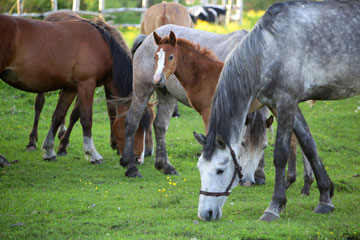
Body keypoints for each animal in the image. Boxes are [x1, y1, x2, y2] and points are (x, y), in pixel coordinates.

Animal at [0, 14, 134, 164]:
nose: (137, 158)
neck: (104, 48)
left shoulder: (73, 88)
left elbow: (60, 115)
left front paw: (51, 150)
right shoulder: (86, 84)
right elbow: (86, 119)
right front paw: (92, 153)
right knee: (39, 104)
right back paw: (30, 143)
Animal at [195, 0, 360, 221]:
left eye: (220, 170)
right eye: (200, 168)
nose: (205, 214)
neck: (270, 48)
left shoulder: (287, 103)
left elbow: (281, 154)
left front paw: (274, 206)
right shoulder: (283, 105)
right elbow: (309, 145)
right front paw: (325, 197)